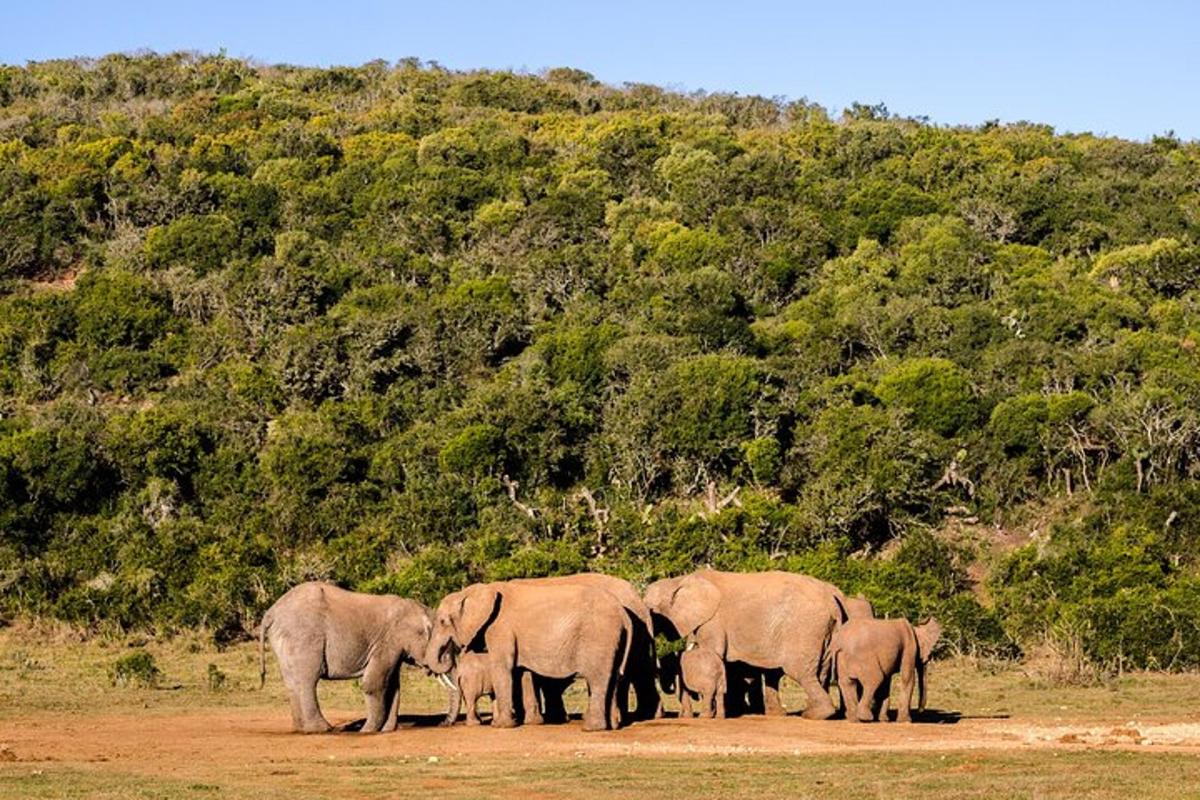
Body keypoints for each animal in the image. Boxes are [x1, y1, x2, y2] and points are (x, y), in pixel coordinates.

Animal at [258, 582, 436, 734]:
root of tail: (270, 613)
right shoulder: (388, 642)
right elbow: (373, 684)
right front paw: (367, 732)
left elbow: (392, 685)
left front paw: (387, 730)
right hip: (304, 636)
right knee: (308, 679)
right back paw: (322, 729)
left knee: (292, 681)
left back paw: (301, 729)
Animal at [432, 582, 638, 734]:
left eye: (442, 622)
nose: (451, 652)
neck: (471, 592)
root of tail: (623, 614)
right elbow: (523, 673)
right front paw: (532, 723)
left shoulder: (500, 629)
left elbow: (504, 669)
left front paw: (501, 726)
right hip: (613, 639)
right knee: (613, 678)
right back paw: (612, 727)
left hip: (599, 637)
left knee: (597, 679)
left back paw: (591, 728)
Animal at [643, 568, 849, 719]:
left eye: (652, 611)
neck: (677, 581)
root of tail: (832, 598)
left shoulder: (713, 622)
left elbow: (712, 654)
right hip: (826, 631)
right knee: (821, 671)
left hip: (804, 628)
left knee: (799, 671)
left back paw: (813, 715)